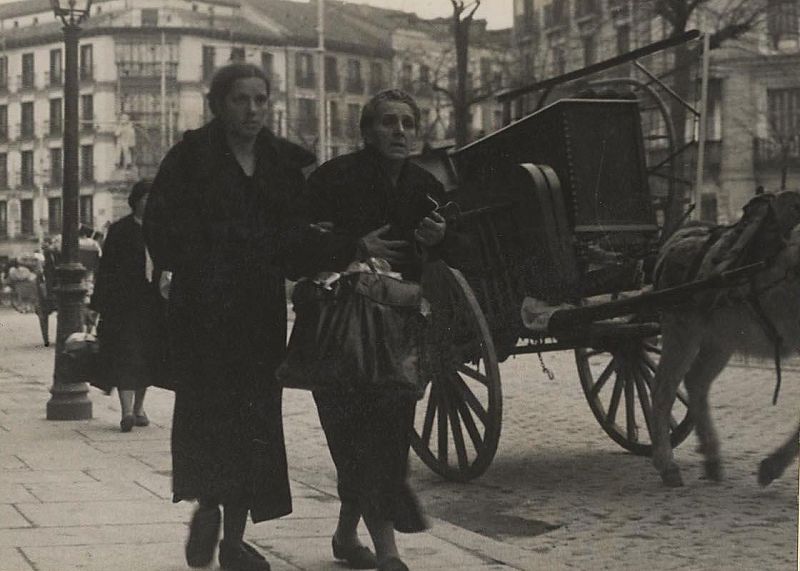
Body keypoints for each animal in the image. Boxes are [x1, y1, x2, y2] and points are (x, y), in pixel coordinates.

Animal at [648, 191, 800, 488]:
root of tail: (677, 239)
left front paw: (772, 466)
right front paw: (772, 466)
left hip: (722, 340)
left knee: (695, 381)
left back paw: (712, 458)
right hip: (682, 331)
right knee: (663, 389)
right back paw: (667, 464)